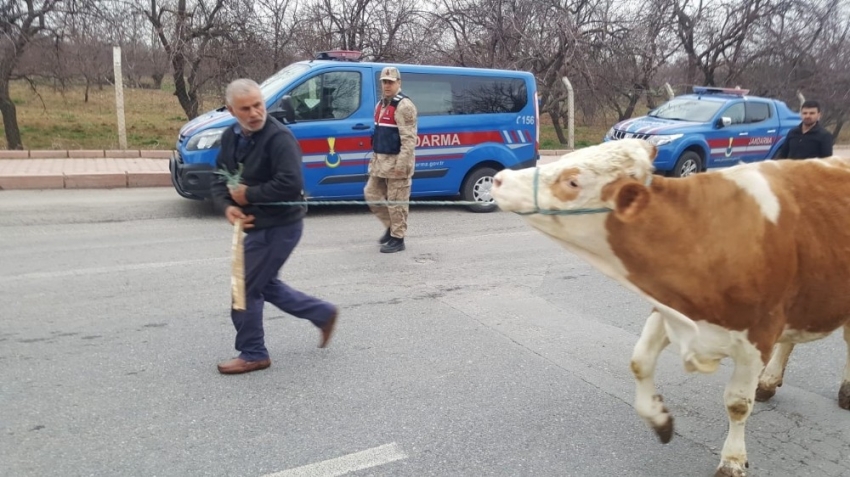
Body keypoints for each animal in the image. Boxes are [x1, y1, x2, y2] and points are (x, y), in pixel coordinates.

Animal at [486, 139, 848, 476]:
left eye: (573, 181)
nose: (500, 179)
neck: (699, 238)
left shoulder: (759, 334)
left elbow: (737, 404)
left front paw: (732, 461)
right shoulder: (668, 309)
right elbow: (639, 362)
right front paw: (660, 420)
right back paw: (770, 382)